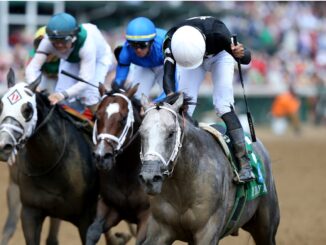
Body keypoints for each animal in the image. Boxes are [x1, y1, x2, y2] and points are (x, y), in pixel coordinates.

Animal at [85, 83, 149, 244]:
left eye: (124, 119)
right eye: (97, 116)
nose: (102, 156)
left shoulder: (147, 216)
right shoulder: (109, 205)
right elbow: (93, 232)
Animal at [139, 93, 278, 244]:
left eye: (171, 133)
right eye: (141, 133)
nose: (150, 177)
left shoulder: (207, 231)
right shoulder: (160, 230)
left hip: (266, 229)